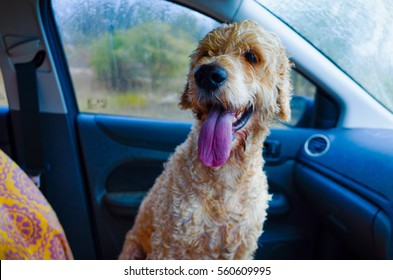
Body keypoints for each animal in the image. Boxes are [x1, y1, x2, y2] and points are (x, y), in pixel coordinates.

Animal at [119, 20, 290, 260]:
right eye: (206, 53)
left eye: (251, 56)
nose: (207, 74)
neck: (225, 173)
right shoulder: (168, 244)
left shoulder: (242, 249)